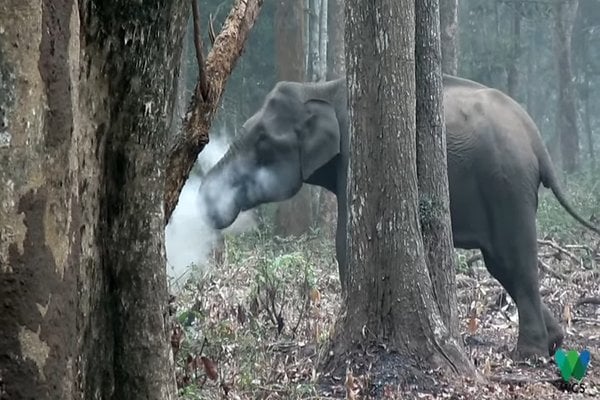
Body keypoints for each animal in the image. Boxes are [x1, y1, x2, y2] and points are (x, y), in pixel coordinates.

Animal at [198, 75, 600, 360]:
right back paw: (554, 342)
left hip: (506, 183)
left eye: (262, 142)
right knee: (502, 264)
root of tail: (536, 139)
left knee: (512, 260)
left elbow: (346, 240)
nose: (204, 203)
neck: (322, 87)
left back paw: (528, 353)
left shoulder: (356, 156)